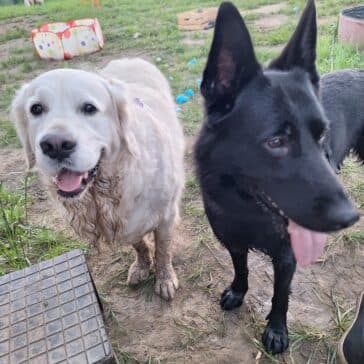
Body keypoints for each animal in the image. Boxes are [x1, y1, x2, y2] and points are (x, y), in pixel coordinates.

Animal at [11, 59, 185, 298]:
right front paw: (141, 266)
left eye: (89, 108)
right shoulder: (124, 223)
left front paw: (165, 279)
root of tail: (128, 58)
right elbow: (139, 245)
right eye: (36, 109)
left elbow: (163, 250)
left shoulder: (167, 215)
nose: (55, 145)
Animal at [193, 0, 362, 352]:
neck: (248, 209)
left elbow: (280, 295)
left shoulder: (287, 257)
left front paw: (276, 329)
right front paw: (238, 292)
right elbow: (241, 269)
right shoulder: (233, 241)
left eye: (321, 134)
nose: (350, 218)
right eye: (276, 142)